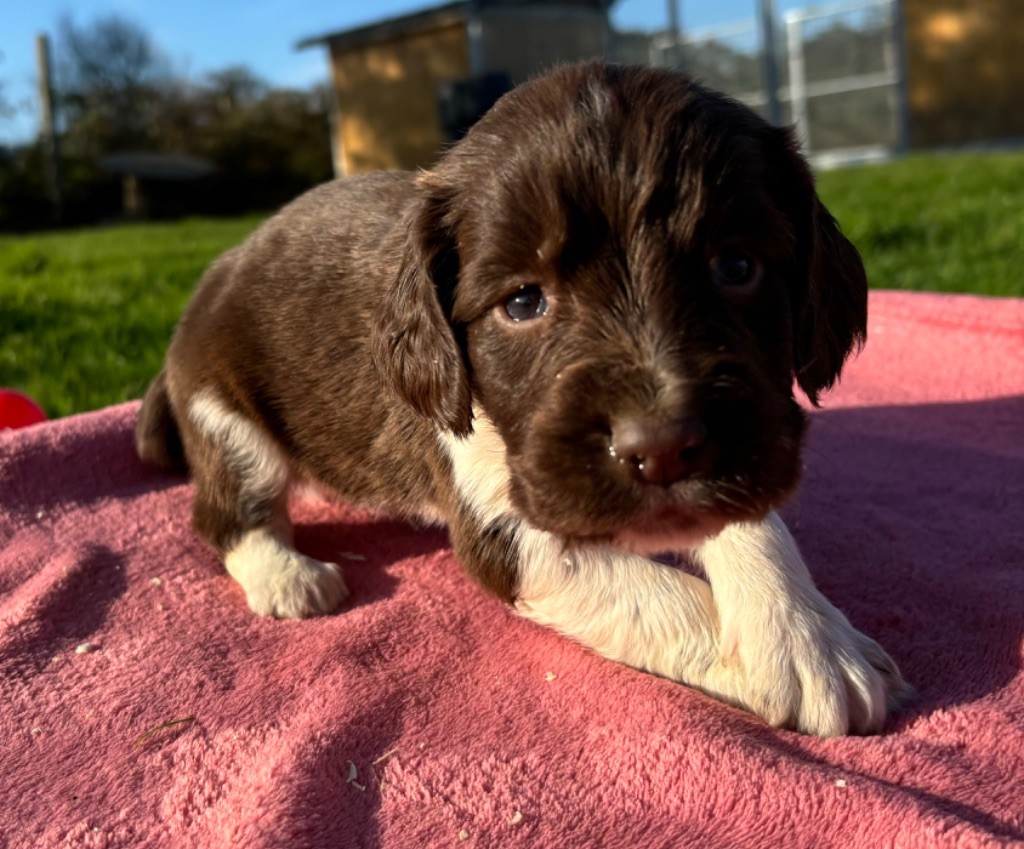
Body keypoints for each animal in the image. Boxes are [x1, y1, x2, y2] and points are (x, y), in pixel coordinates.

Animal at [136, 61, 913, 737]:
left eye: (737, 266)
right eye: (522, 302)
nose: (662, 450)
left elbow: (751, 517)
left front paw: (807, 636)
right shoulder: (508, 524)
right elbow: (659, 596)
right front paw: (758, 658)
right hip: (225, 415)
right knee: (226, 510)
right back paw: (286, 573)